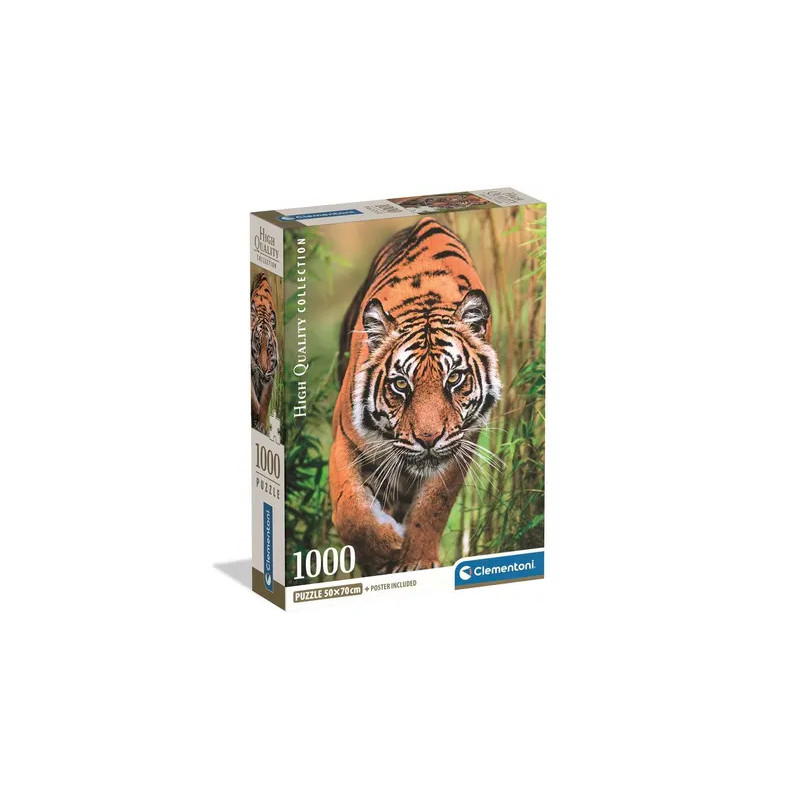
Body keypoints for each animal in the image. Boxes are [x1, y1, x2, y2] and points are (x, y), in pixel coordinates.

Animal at [330, 217, 501, 574]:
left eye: (454, 378)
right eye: (400, 384)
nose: (428, 439)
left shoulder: (460, 444)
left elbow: (433, 504)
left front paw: (417, 561)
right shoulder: (345, 440)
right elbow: (350, 509)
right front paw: (384, 548)